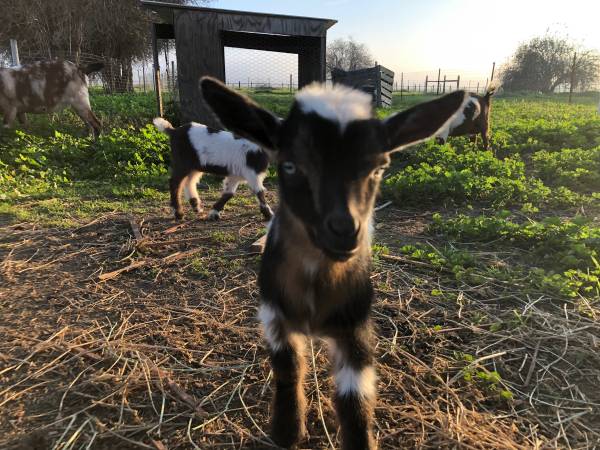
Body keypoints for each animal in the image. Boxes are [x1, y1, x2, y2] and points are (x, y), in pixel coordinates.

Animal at [200, 77, 468, 450]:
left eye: (379, 167)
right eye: (289, 165)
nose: (344, 231)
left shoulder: (354, 325)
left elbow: (355, 398)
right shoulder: (275, 314)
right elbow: (288, 369)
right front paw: (287, 430)